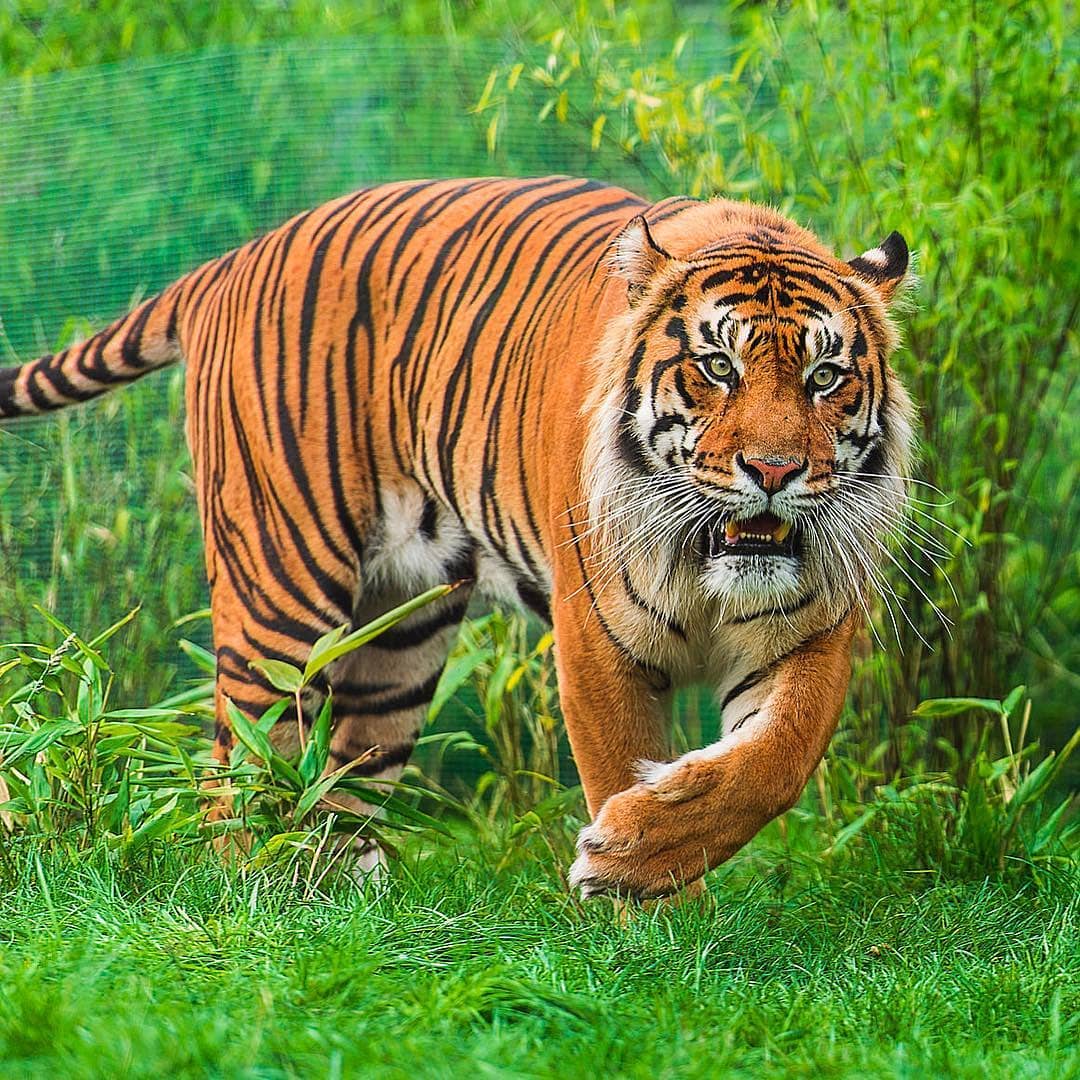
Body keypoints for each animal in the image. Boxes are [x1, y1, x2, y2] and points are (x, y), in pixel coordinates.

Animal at [0, 176, 913, 898]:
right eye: (719, 366)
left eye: (824, 376)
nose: (774, 470)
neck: (702, 563)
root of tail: (236, 258)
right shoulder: (595, 642)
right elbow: (619, 760)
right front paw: (644, 901)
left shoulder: (812, 630)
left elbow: (776, 760)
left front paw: (642, 860)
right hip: (280, 590)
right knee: (237, 771)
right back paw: (249, 896)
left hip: (400, 635)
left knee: (342, 773)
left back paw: (332, 894)